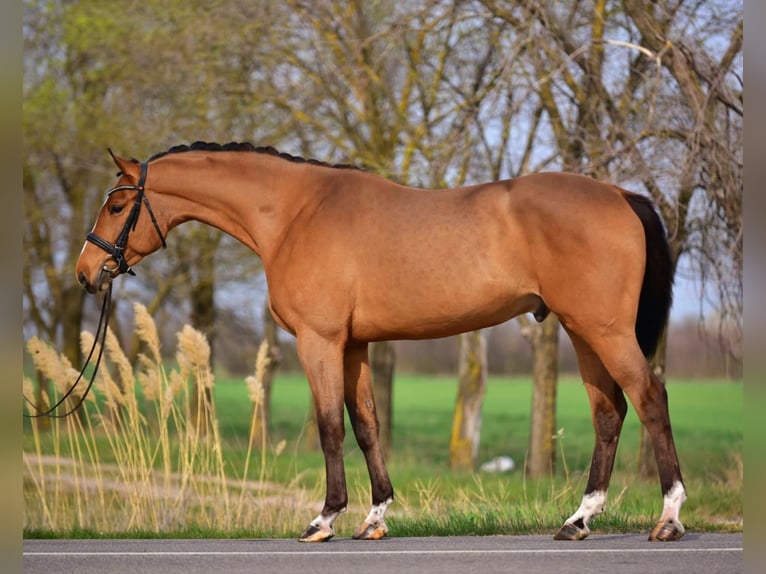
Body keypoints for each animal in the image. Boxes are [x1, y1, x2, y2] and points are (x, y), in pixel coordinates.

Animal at [76, 141, 686, 543]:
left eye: (116, 205)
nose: (86, 273)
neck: (296, 214)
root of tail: (621, 193)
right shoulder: (354, 346)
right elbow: (367, 425)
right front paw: (374, 518)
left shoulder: (319, 342)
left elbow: (329, 426)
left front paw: (324, 518)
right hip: (583, 332)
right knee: (609, 413)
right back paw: (578, 520)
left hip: (604, 330)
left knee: (651, 399)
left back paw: (669, 517)